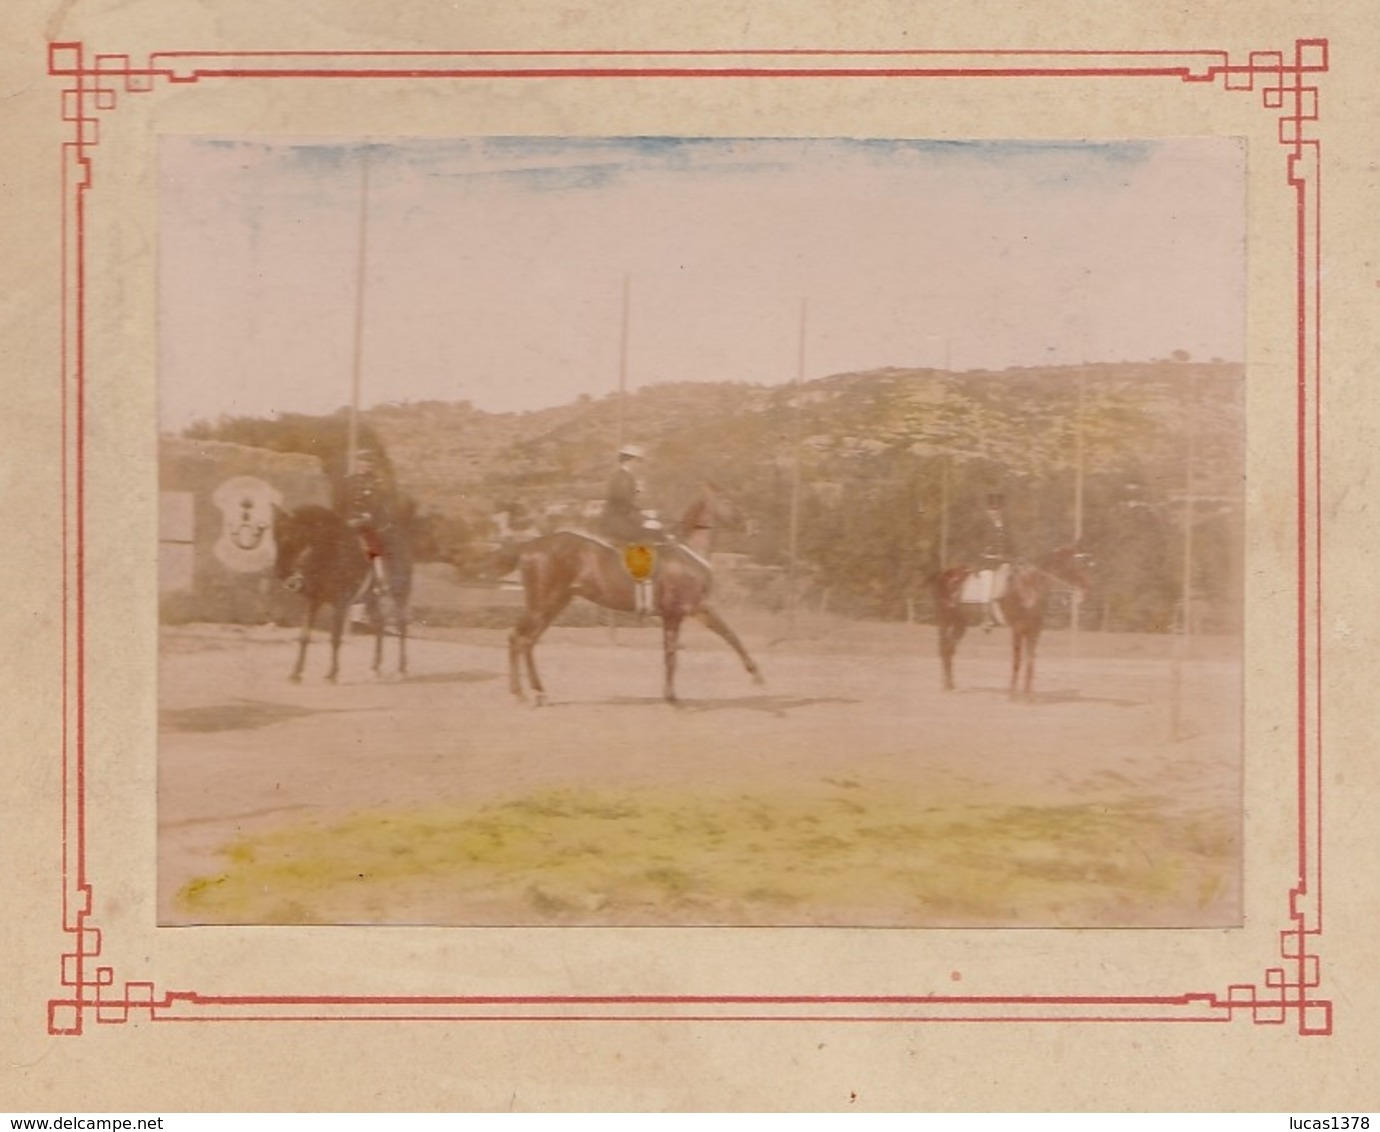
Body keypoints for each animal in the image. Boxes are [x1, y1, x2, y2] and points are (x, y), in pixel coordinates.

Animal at [271, 505, 411, 681]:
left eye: (294, 538)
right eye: (276, 539)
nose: (281, 573)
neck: (331, 553)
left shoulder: (340, 604)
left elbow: (335, 638)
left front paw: (332, 673)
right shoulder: (313, 601)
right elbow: (304, 636)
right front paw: (296, 673)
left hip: (400, 596)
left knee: (402, 625)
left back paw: (402, 669)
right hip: (371, 599)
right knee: (379, 624)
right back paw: (375, 668)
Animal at [499, 483, 761, 704]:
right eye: (728, 499)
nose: (751, 525)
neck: (686, 554)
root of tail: (531, 545)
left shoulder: (677, 615)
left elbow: (672, 654)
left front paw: (670, 694)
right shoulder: (693, 608)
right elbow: (729, 636)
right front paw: (756, 675)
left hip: (556, 603)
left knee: (528, 641)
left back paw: (537, 692)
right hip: (542, 603)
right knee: (518, 638)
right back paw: (521, 693)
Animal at [932, 546, 1092, 698]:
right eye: (1072, 562)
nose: (1086, 587)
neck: (1028, 590)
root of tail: (945, 575)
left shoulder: (1034, 630)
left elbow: (1030, 660)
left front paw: (1028, 695)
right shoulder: (1018, 628)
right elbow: (1017, 660)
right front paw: (1013, 694)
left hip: (960, 624)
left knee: (949, 649)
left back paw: (951, 685)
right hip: (944, 621)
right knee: (944, 649)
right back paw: (946, 686)